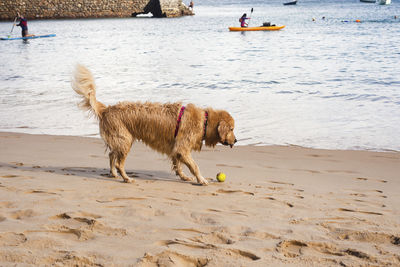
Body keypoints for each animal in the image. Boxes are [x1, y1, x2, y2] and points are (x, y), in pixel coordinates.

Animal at [72, 66, 236, 185]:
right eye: (232, 129)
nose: (236, 140)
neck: (204, 121)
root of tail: (106, 109)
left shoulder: (176, 148)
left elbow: (179, 165)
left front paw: (184, 177)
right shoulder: (182, 148)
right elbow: (194, 166)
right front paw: (201, 179)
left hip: (120, 140)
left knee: (112, 155)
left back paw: (113, 174)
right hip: (125, 140)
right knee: (119, 162)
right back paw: (126, 178)